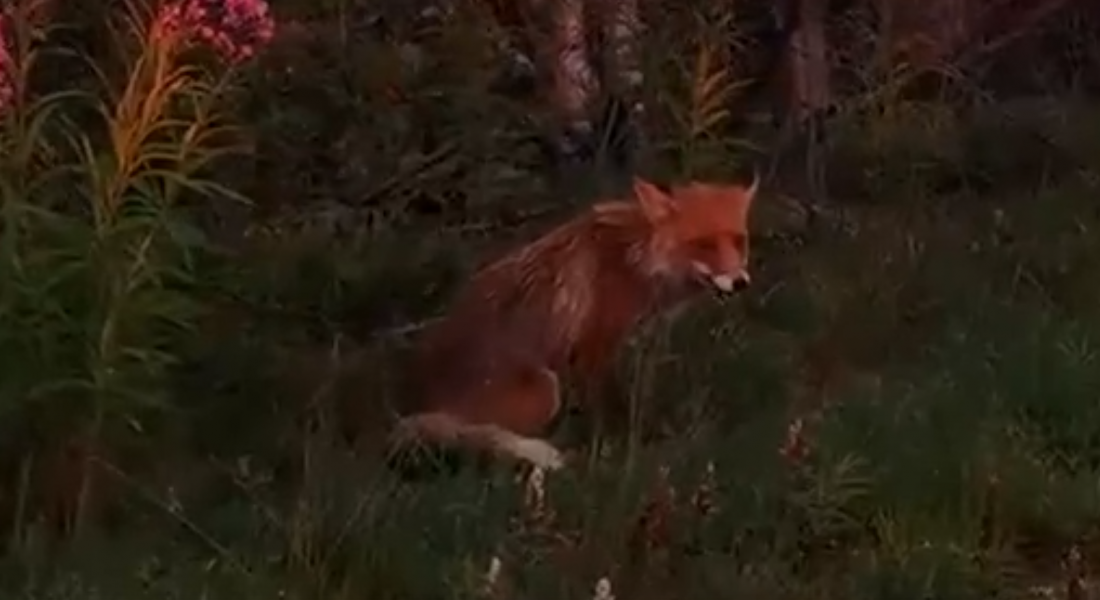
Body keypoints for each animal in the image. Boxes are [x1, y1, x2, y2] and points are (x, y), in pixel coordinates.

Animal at [385, 174, 759, 474]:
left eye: (739, 241)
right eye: (704, 245)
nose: (740, 282)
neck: (635, 259)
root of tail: (412, 403)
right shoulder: (594, 348)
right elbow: (609, 411)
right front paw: (617, 449)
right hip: (544, 390)